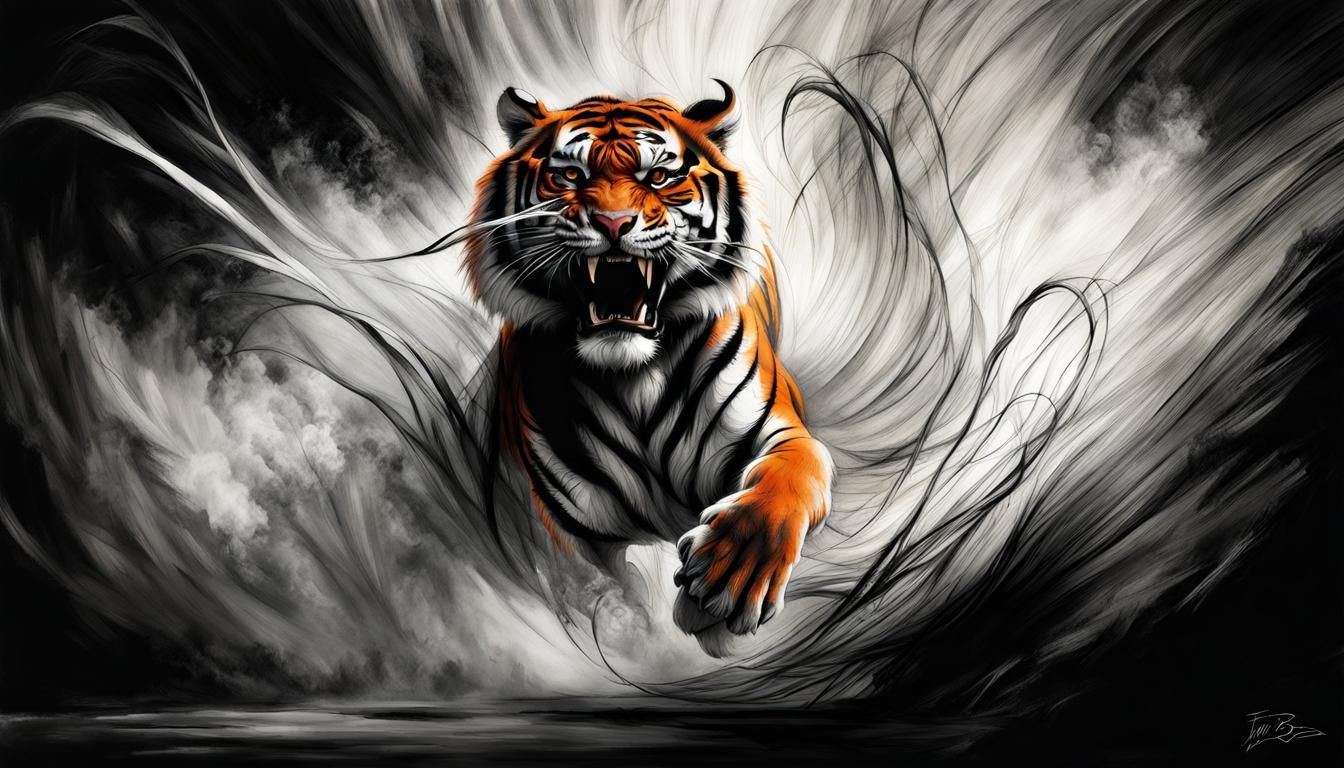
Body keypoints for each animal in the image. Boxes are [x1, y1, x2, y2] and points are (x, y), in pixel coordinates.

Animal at [465, 81, 832, 649]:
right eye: (570, 176)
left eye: (658, 177)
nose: (613, 223)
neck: (635, 377)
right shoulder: (559, 522)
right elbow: (599, 597)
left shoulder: (781, 431)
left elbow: (791, 478)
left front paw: (729, 574)